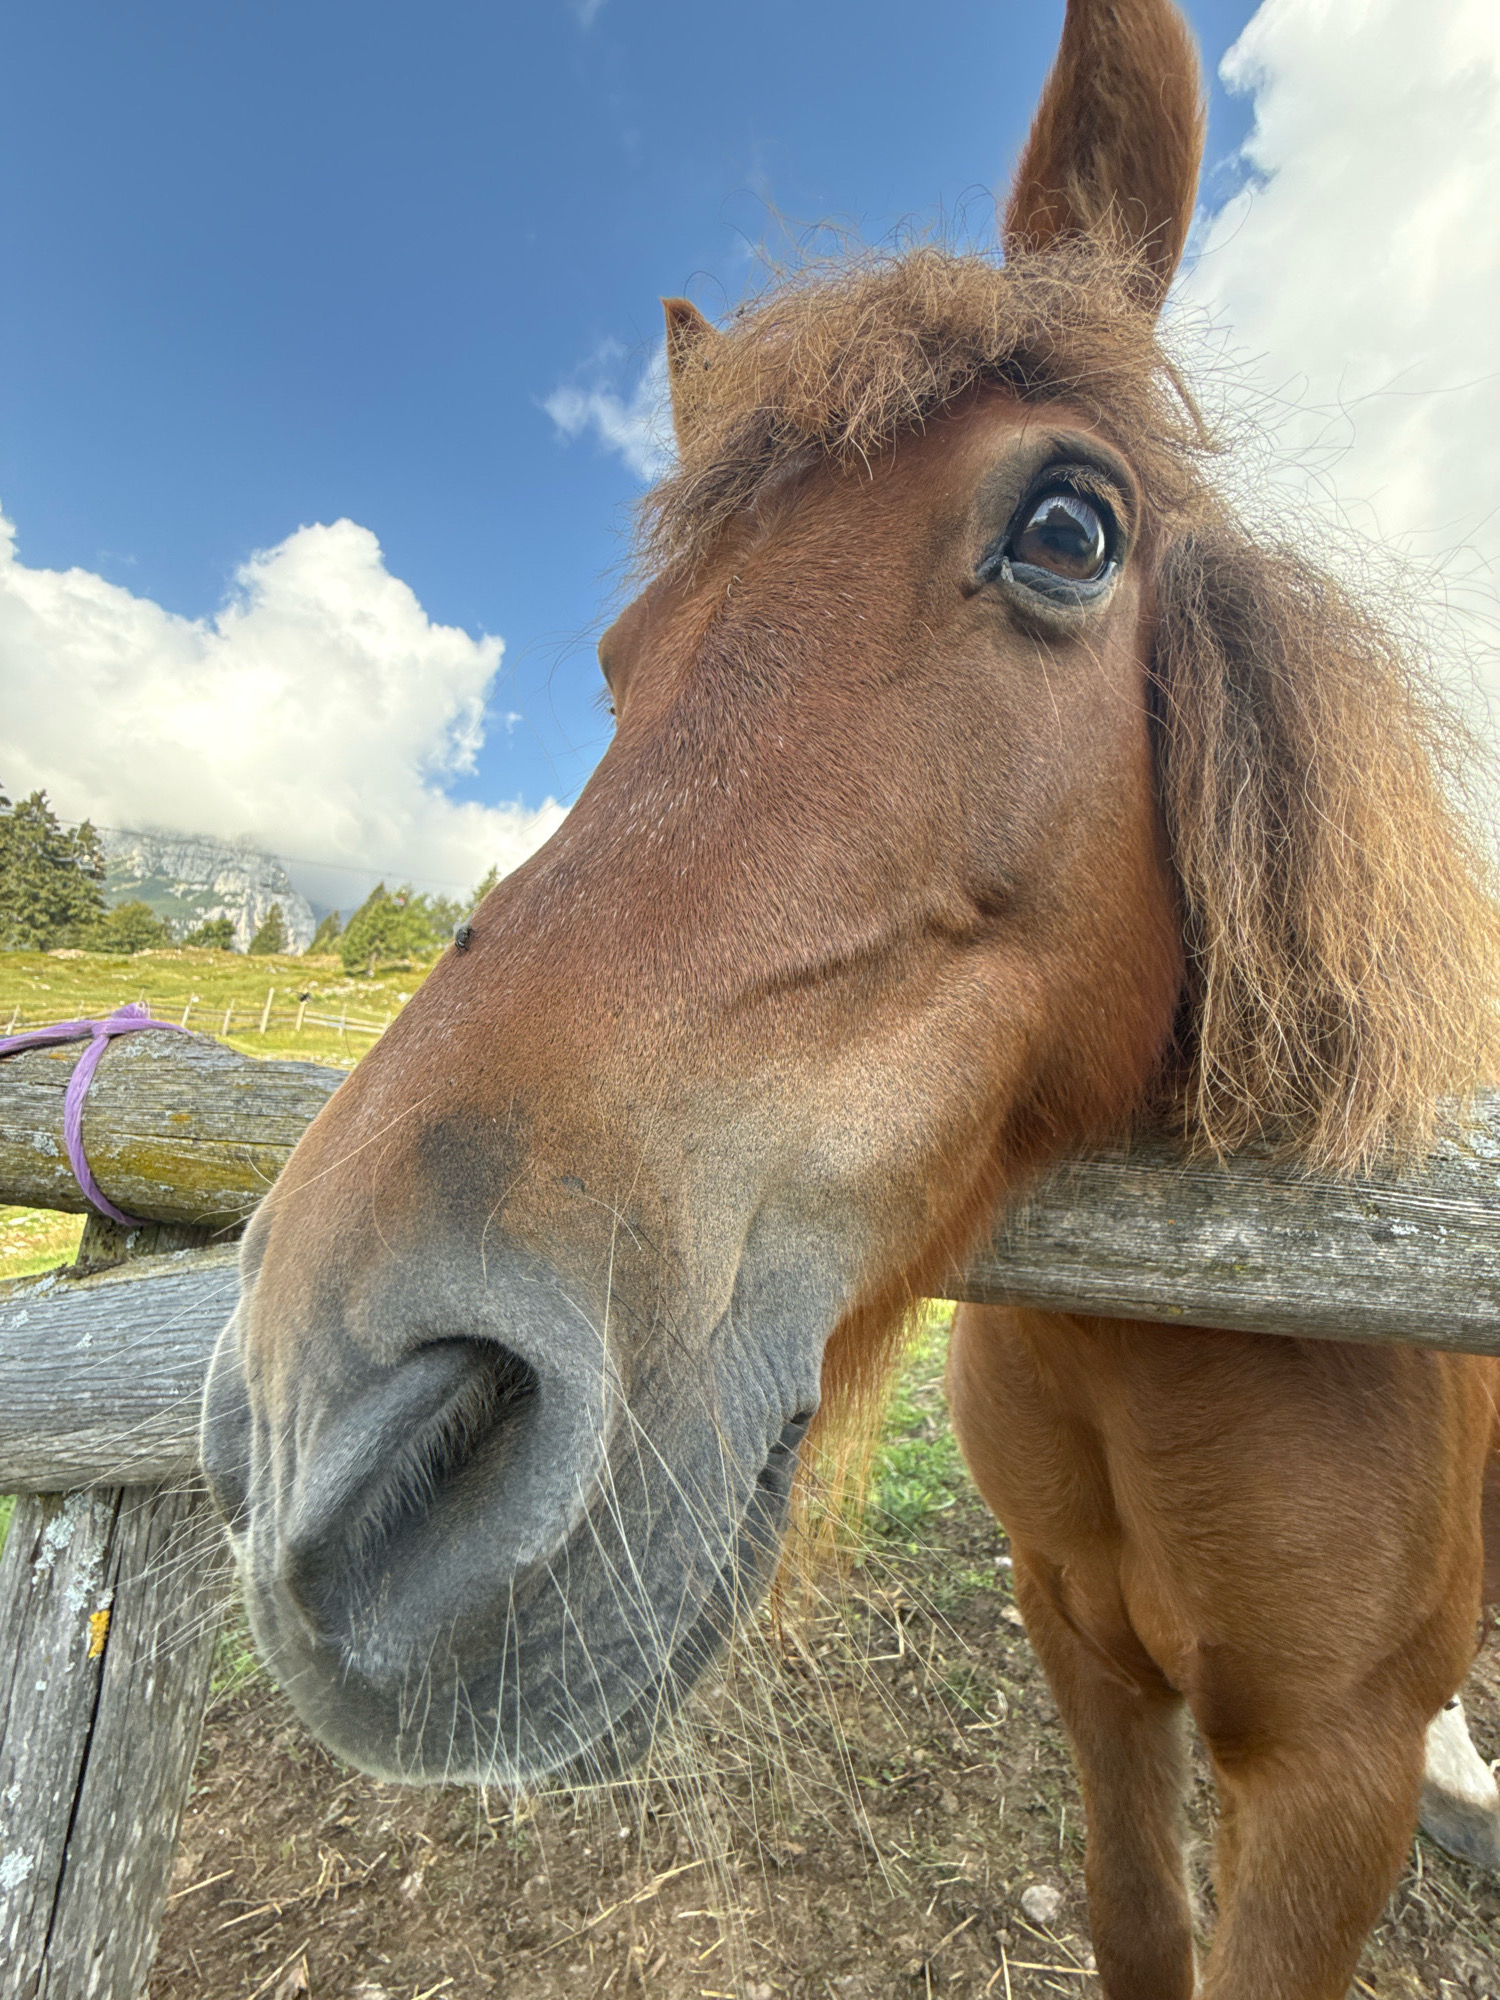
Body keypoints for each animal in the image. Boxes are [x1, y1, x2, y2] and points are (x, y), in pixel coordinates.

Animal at [201, 1, 1500, 1993]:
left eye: (1069, 529)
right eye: (618, 662)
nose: (325, 1424)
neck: (1197, 1334)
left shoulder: (1327, 1775)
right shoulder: (1082, 1644)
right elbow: (1135, 1918)